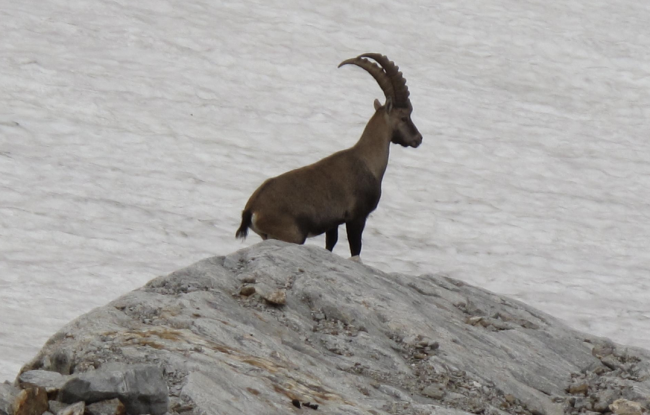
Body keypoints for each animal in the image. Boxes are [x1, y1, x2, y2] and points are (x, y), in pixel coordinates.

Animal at [236, 53, 422, 258]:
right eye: (404, 117)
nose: (418, 139)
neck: (367, 160)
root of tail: (251, 209)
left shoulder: (334, 223)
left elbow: (330, 244)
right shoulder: (357, 217)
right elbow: (355, 250)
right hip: (292, 235)